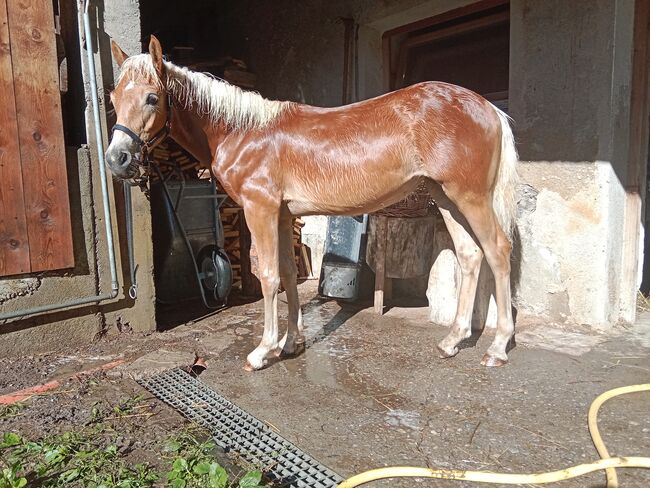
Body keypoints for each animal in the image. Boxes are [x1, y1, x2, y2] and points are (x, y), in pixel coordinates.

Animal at [107, 37, 520, 370]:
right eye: (113, 99)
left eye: (152, 97)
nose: (117, 159)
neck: (242, 131)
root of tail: (488, 108)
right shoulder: (281, 214)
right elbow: (289, 275)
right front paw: (291, 343)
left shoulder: (260, 209)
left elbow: (268, 275)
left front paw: (263, 351)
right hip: (445, 197)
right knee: (470, 255)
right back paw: (452, 341)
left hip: (469, 196)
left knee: (498, 251)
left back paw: (497, 348)